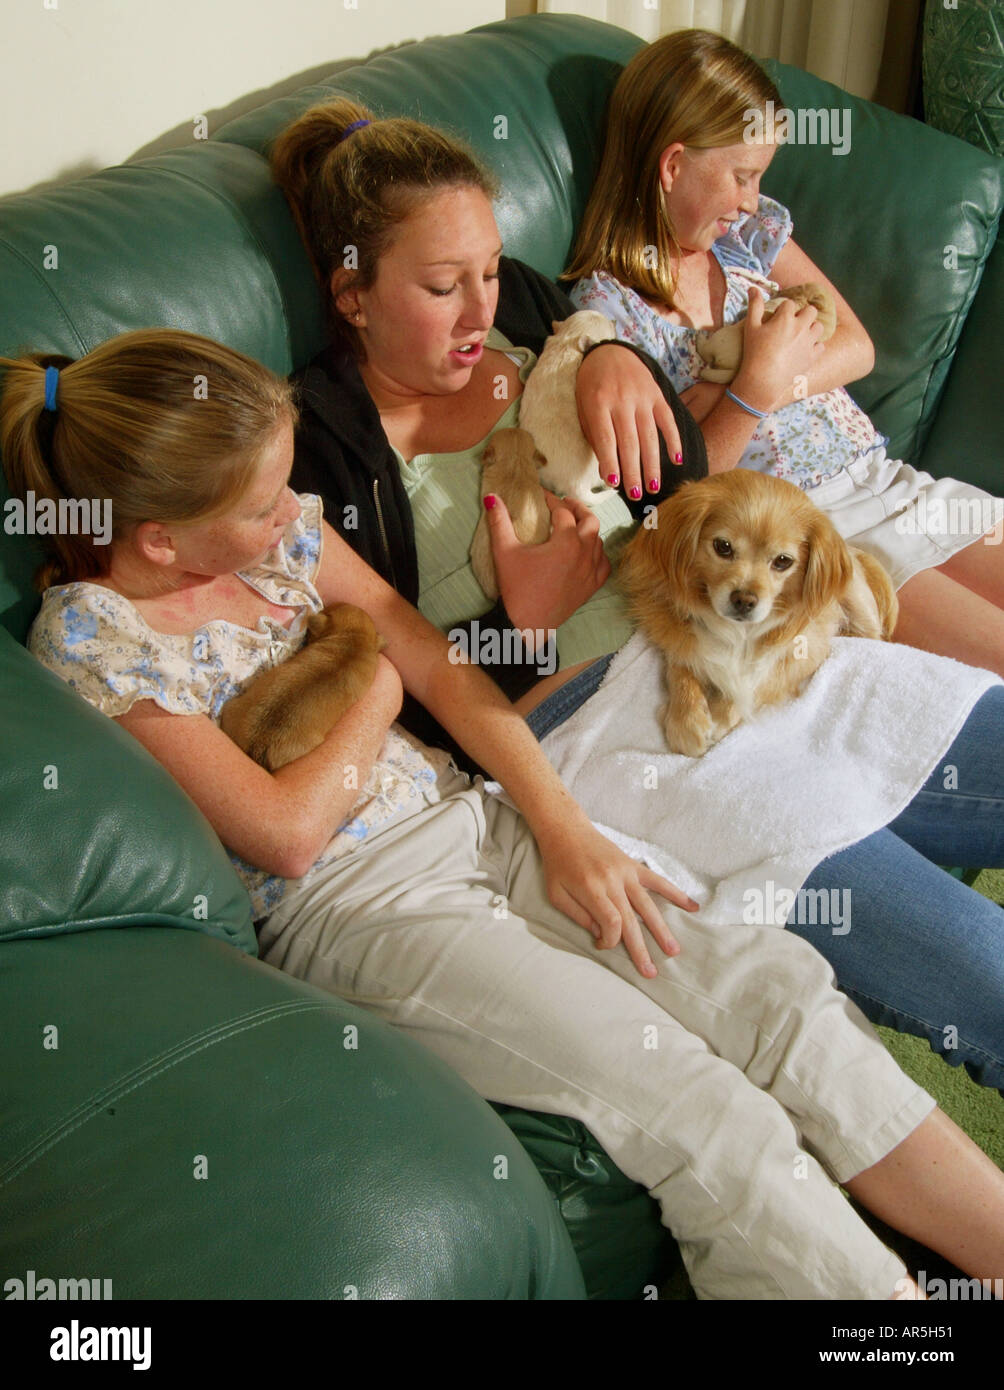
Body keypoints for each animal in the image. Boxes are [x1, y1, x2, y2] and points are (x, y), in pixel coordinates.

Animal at [622, 469, 895, 756]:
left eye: (783, 561)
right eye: (723, 546)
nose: (744, 600)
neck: (738, 631)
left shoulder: (803, 655)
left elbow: (758, 683)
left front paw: (720, 717)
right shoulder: (680, 638)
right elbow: (680, 669)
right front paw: (687, 720)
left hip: (858, 606)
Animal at [692, 280, 834, 383]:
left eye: (799, 286)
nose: (779, 289)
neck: (819, 315)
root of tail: (736, 370)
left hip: (719, 337)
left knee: (705, 352)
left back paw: (700, 337)